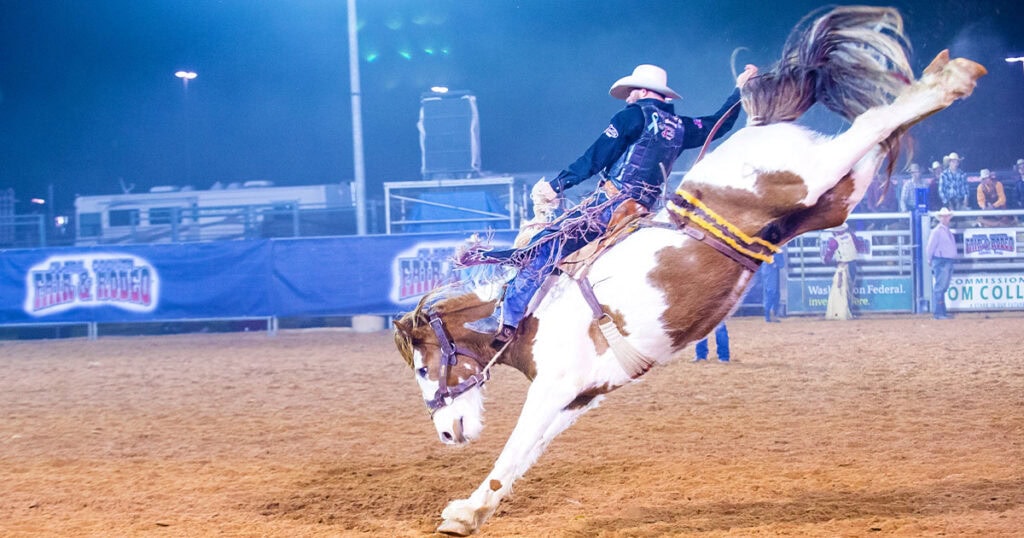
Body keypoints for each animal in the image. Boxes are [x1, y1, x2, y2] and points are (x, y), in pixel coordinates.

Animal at [389, 6, 983, 532]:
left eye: (422, 369)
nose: (446, 436)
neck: (531, 316)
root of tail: (760, 126)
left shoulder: (555, 386)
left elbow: (513, 450)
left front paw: (463, 511)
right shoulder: (578, 398)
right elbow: (527, 455)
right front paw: (471, 513)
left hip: (809, 176)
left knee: (872, 121)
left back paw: (952, 77)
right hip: (829, 196)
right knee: (872, 138)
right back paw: (940, 76)